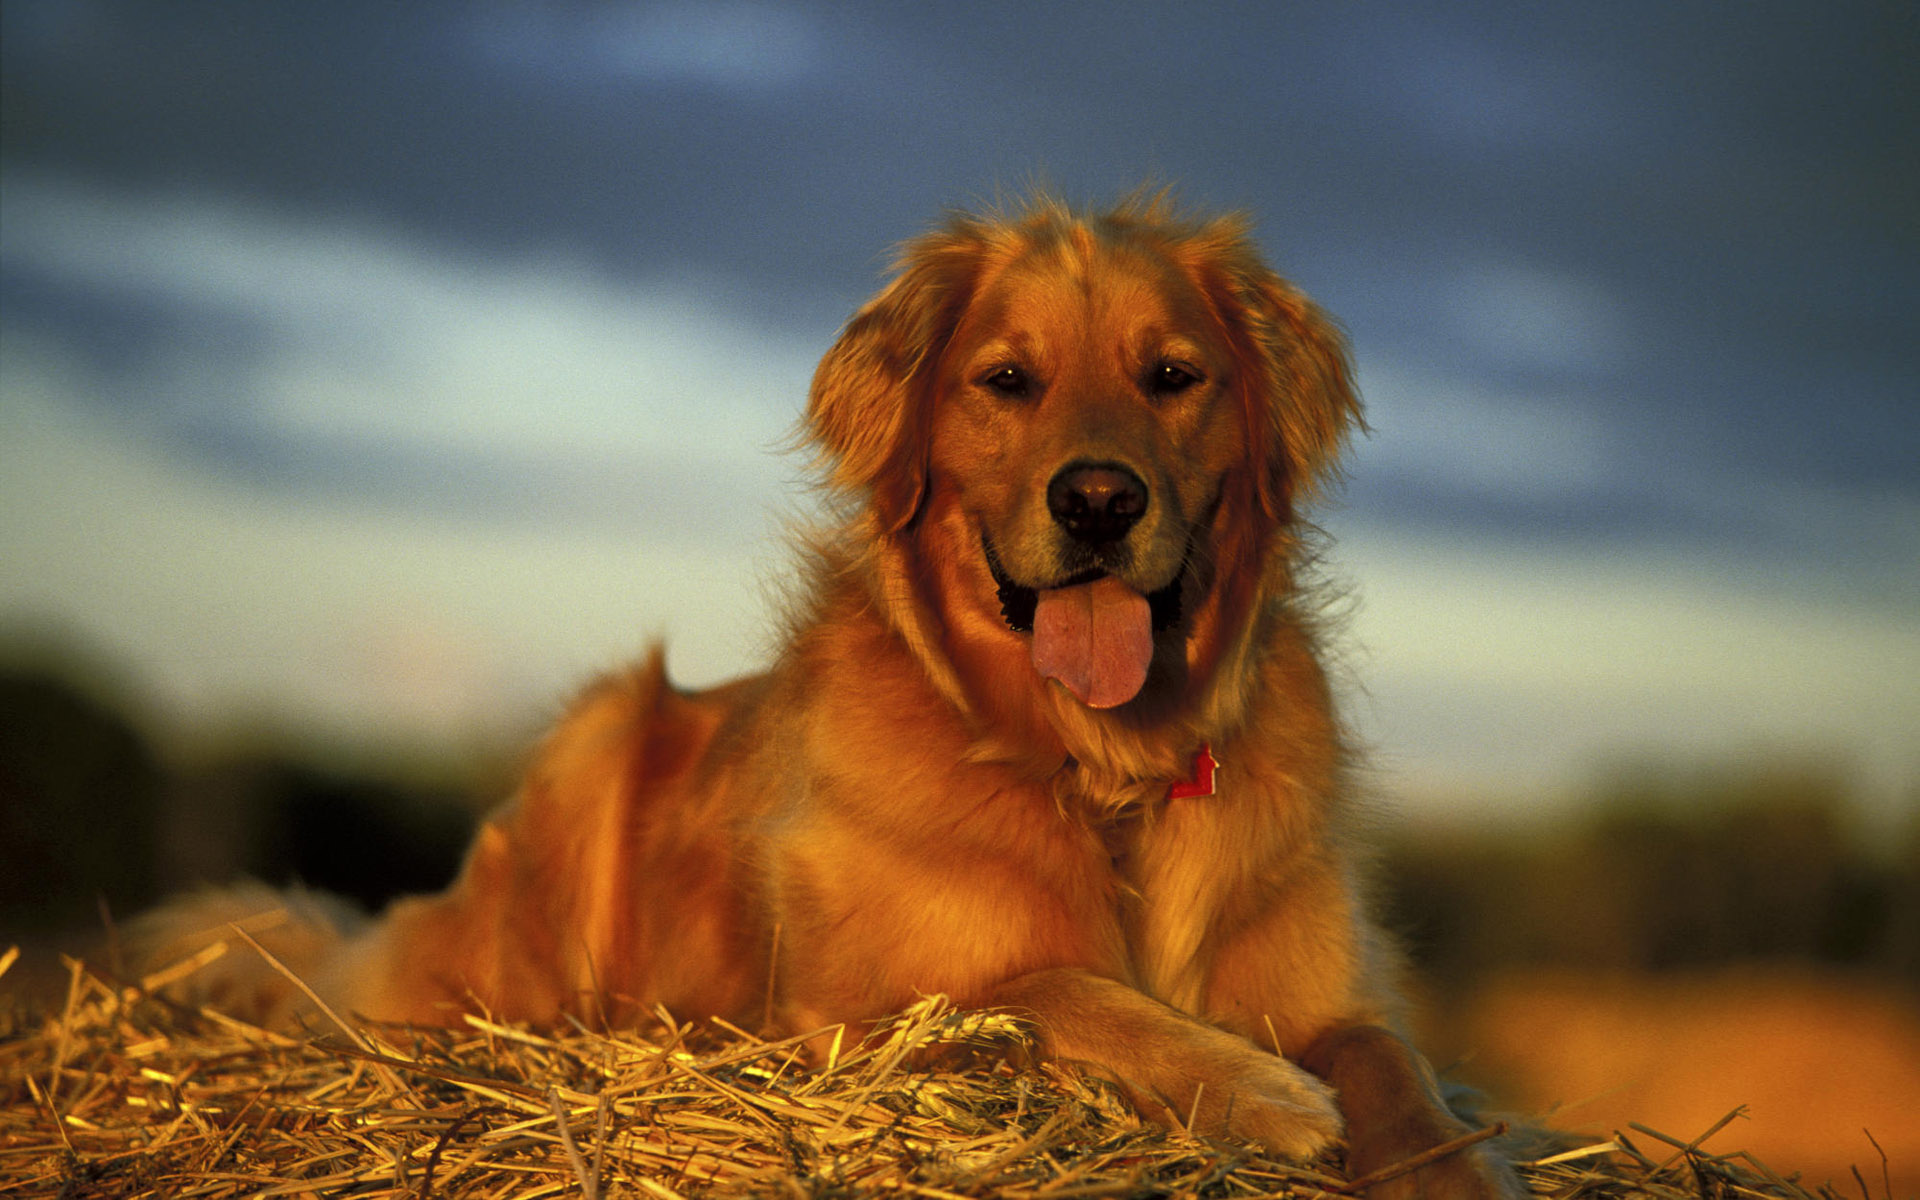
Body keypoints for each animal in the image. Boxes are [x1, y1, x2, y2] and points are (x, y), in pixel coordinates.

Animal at [145, 196, 1512, 1198]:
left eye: (1174, 375)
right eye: (1006, 380)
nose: (1099, 502)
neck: (1097, 767)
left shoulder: (1342, 994)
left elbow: (1406, 1079)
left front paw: (1438, 1160)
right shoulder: (853, 1012)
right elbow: (1046, 989)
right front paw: (1268, 1094)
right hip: (594, 743)